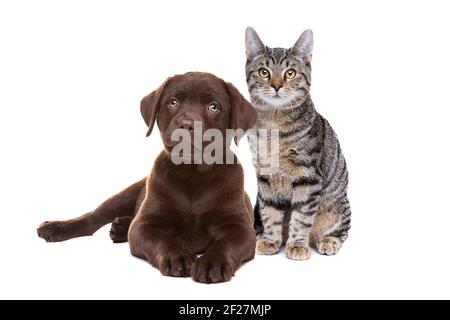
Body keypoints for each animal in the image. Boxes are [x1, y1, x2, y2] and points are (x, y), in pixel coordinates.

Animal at [36, 72, 256, 282]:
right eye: (173, 102)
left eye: (214, 107)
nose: (186, 125)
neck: (193, 173)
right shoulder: (144, 225)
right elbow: (162, 240)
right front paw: (178, 257)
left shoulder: (241, 229)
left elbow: (226, 244)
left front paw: (212, 262)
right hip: (125, 194)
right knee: (93, 218)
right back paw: (58, 227)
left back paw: (120, 226)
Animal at [246, 28, 352, 260]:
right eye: (264, 72)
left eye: (291, 73)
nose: (276, 85)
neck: (274, 124)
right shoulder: (264, 177)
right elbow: (270, 213)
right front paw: (270, 240)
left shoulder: (308, 176)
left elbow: (302, 215)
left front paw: (297, 244)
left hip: (338, 205)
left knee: (341, 228)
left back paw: (327, 240)